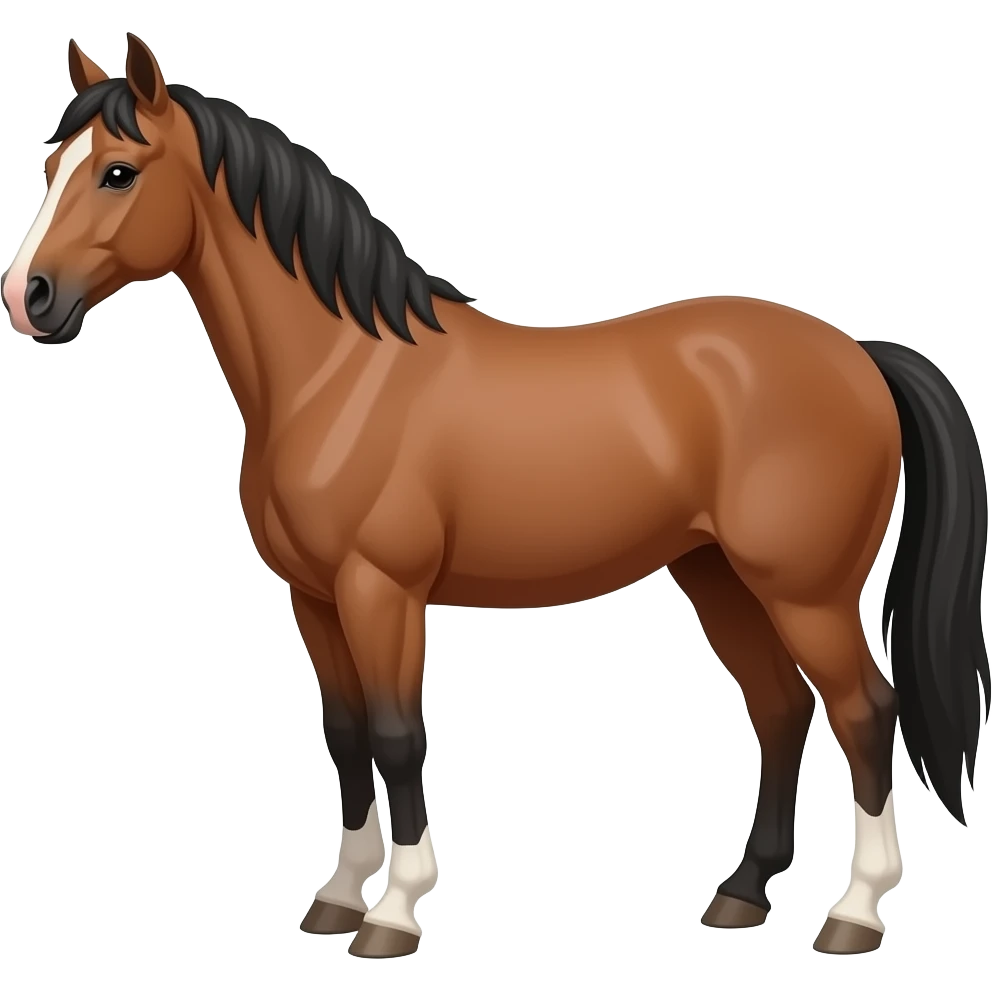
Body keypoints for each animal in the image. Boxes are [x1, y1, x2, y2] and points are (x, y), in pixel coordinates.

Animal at [3, 33, 988, 960]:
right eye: (53, 168)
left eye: (119, 172)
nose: (28, 297)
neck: (339, 374)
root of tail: (858, 353)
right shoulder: (314, 597)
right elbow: (346, 734)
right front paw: (336, 897)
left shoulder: (381, 590)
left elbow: (398, 736)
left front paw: (394, 914)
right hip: (719, 576)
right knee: (781, 709)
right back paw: (742, 896)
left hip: (805, 592)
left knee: (865, 713)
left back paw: (853, 913)